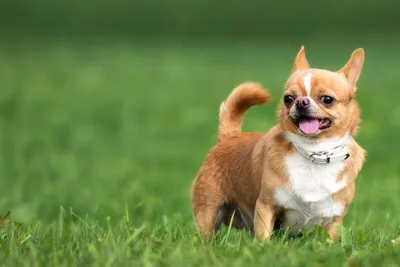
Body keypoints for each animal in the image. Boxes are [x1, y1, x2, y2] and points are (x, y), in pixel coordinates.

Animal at [191, 47, 366, 242]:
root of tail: (230, 136)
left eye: (327, 99)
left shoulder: (332, 220)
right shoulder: (266, 207)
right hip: (208, 211)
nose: (301, 101)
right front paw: (263, 248)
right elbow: (263, 238)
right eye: (288, 98)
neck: (314, 153)